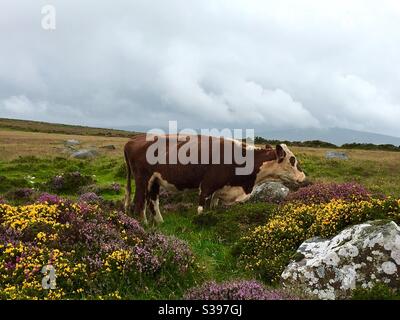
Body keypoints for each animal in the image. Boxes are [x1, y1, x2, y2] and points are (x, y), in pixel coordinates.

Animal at [123, 134, 304, 224]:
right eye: (292, 160)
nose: (303, 177)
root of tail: (133, 140)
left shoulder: (219, 191)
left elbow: (212, 209)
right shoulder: (207, 186)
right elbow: (201, 210)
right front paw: (199, 223)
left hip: (154, 181)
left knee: (153, 201)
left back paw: (160, 223)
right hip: (142, 179)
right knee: (139, 203)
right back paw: (144, 225)